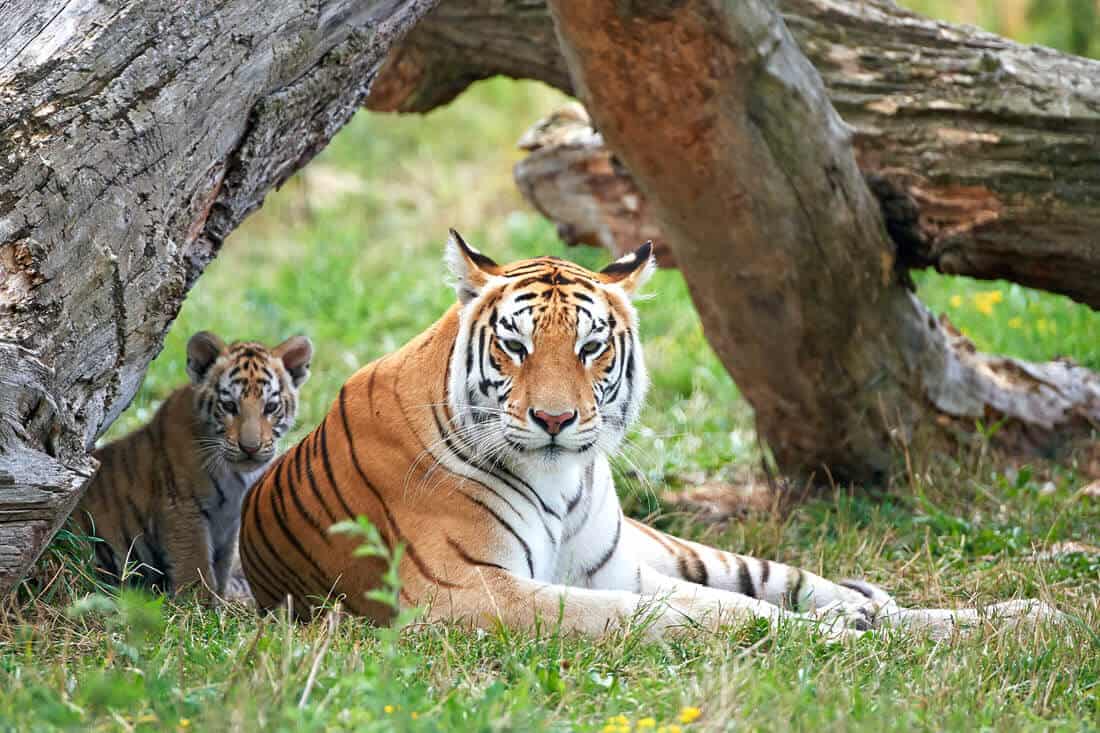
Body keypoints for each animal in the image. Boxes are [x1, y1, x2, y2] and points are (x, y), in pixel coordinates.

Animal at [73, 330, 314, 598]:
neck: (236, 476)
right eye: (229, 406)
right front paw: (199, 603)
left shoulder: (230, 524)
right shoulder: (182, 506)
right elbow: (195, 565)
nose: (250, 447)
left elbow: (222, 567)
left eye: (270, 407)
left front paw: (219, 600)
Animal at [238, 232, 1056, 633]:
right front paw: (813, 636)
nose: (556, 420)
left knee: (795, 579)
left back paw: (1008, 616)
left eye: (591, 347)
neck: (561, 483)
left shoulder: (612, 569)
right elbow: (683, 614)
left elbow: (721, 601)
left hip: (673, 547)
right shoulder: (464, 593)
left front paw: (841, 624)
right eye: (516, 346)